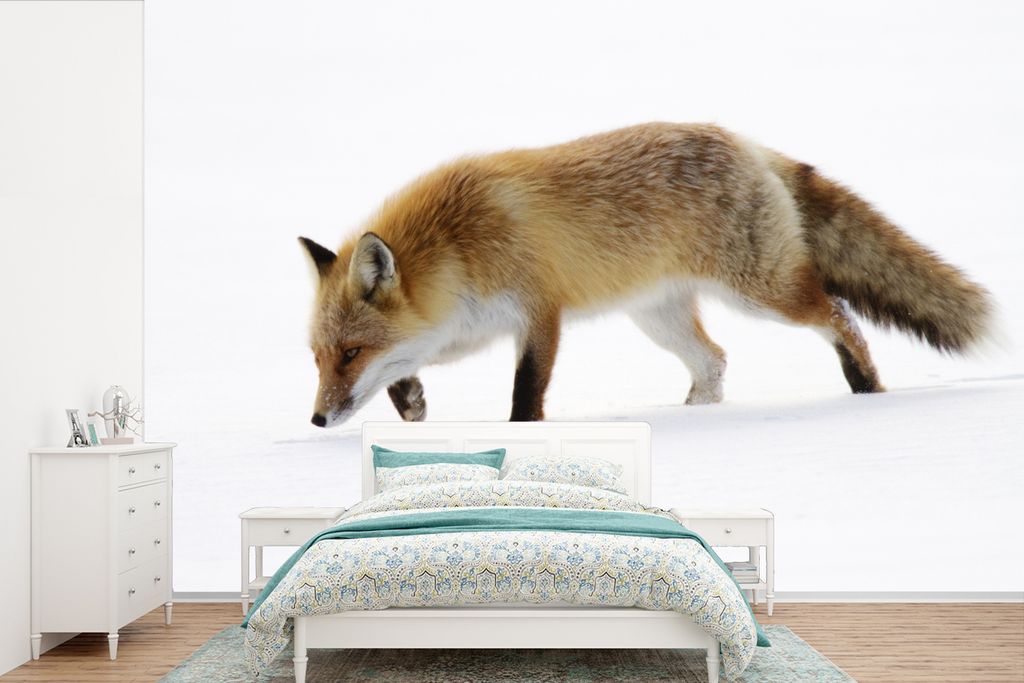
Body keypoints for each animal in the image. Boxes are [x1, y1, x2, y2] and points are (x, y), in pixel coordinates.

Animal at [300, 122, 993, 428]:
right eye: (320, 357)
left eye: (351, 352)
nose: (315, 421)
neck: (458, 247)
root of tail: (746, 143)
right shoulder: (462, 328)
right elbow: (407, 369)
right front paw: (411, 401)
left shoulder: (538, 313)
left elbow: (525, 397)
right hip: (657, 318)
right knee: (715, 361)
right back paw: (690, 420)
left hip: (762, 292)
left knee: (838, 315)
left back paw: (866, 386)